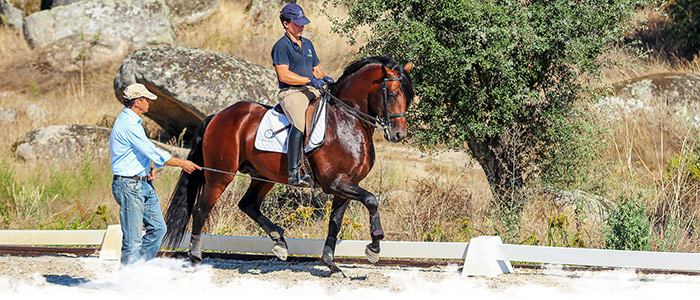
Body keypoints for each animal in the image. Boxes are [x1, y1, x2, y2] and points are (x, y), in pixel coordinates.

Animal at [163, 55, 416, 276]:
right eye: (392, 94)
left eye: (407, 97)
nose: (398, 135)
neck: (346, 121)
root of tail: (217, 116)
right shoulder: (335, 183)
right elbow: (372, 200)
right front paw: (374, 247)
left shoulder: (346, 186)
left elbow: (335, 223)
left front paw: (332, 265)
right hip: (221, 174)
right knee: (201, 209)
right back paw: (196, 257)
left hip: (263, 176)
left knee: (248, 204)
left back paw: (280, 242)